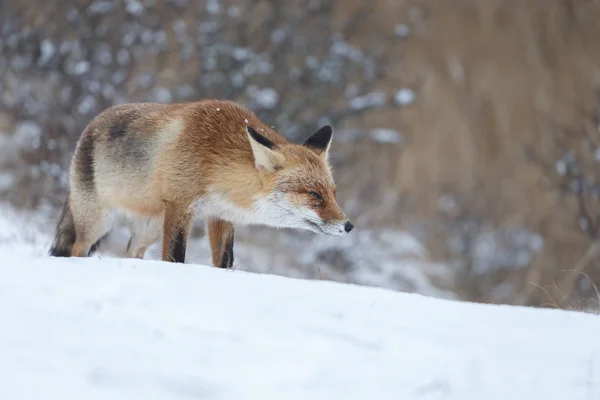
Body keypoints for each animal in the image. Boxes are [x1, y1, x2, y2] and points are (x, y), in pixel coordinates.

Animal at [50, 98, 356, 268]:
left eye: (333, 193)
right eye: (314, 194)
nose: (348, 226)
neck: (214, 160)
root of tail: (89, 127)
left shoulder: (220, 215)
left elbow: (224, 261)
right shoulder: (180, 205)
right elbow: (175, 257)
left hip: (147, 228)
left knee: (131, 252)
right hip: (97, 221)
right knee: (77, 249)